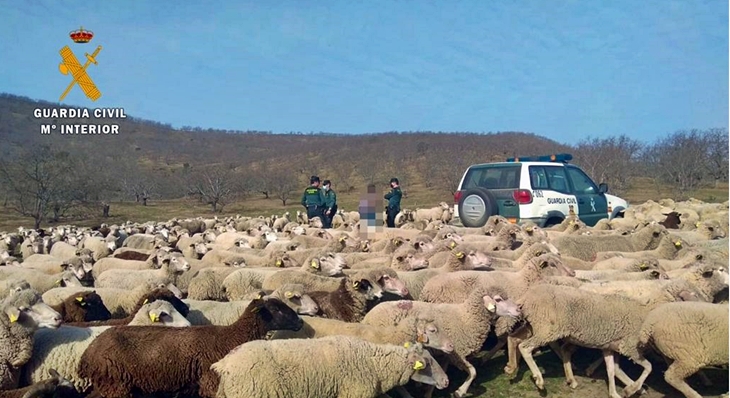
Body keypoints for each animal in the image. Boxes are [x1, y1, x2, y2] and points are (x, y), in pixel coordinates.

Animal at [79, 298, 304, 398]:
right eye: (276, 309)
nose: (301, 322)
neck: (231, 336)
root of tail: (88, 353)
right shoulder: (210, 381)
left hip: (108, 384)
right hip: (115, 385)